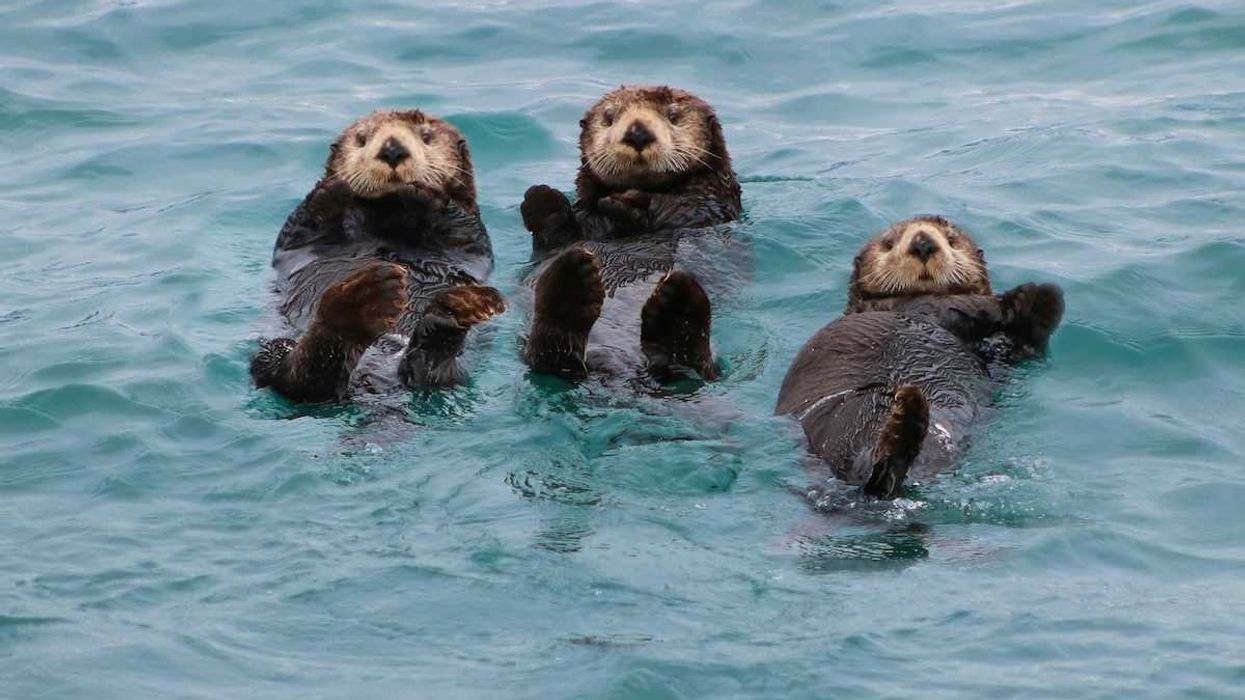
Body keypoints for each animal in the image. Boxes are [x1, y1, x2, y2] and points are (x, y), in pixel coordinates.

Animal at [250, 110, 504, 403]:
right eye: (362, 139)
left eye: (426, 137)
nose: (392, 150)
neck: (388, 219)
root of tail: (374, 378)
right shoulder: (296, 240)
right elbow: (301, 227)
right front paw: (333, 189)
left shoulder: (471, 236)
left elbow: (459, 225)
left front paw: (421, 192)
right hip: (272, 350)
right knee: (296, 379)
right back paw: (362, 301)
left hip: (456, 375)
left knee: (429, 375)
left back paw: (450, 313)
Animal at [517, 85, 743, 383]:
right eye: (609, 117)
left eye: (673, 116)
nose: (637, 132)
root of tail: (617, 366)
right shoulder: (580, 226)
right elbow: (558, 234)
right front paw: (542, 200)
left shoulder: (708, 206)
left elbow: (680, 208)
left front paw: (630, 202)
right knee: (549, 355)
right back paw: (572, 282)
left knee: (696, 366)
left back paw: (677, 305)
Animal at [775, 216, 1064, 498]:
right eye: (889, 243)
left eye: (951, 240)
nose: (923, 243)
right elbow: (961, 306)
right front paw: (1017, 299)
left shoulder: (1001, 355)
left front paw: (1033, 300)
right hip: (846, 420)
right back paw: (905, 419)